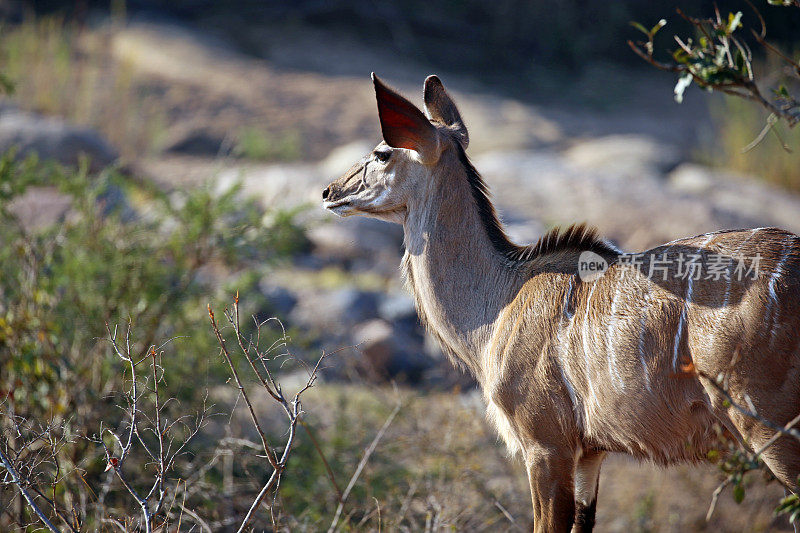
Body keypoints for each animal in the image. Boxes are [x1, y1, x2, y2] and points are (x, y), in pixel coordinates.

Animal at [320, 72, 800, 528]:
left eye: (382, 152)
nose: (329, 192)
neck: (500, 302)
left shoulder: (545, 444)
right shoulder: (591, 453)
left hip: (769, 428)